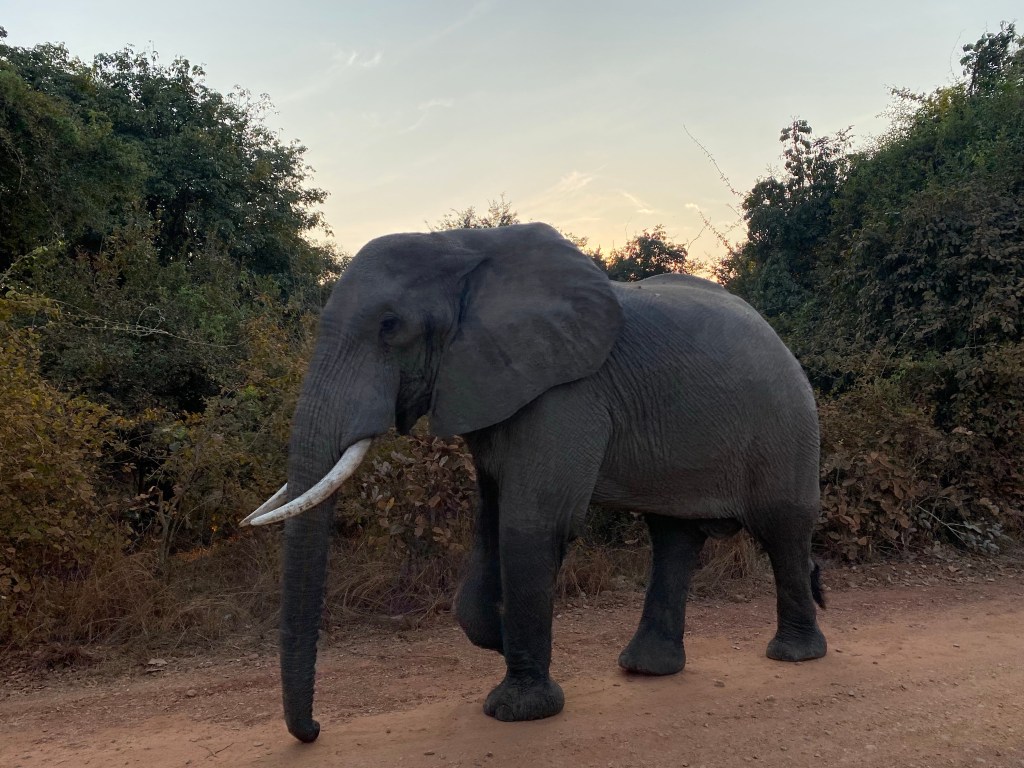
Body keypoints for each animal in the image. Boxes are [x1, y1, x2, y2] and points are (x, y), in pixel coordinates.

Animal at [242, 222, 827, 742]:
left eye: (390, 325)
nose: (314, 732)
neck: (462, 249)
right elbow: (491, 520)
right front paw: (503, 643)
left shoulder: (565, 394)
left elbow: (532, 523)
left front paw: (518, 710)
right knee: (673, 538)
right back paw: (647, 668)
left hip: (786, 424)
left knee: (783, 527)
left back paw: (795, 655)